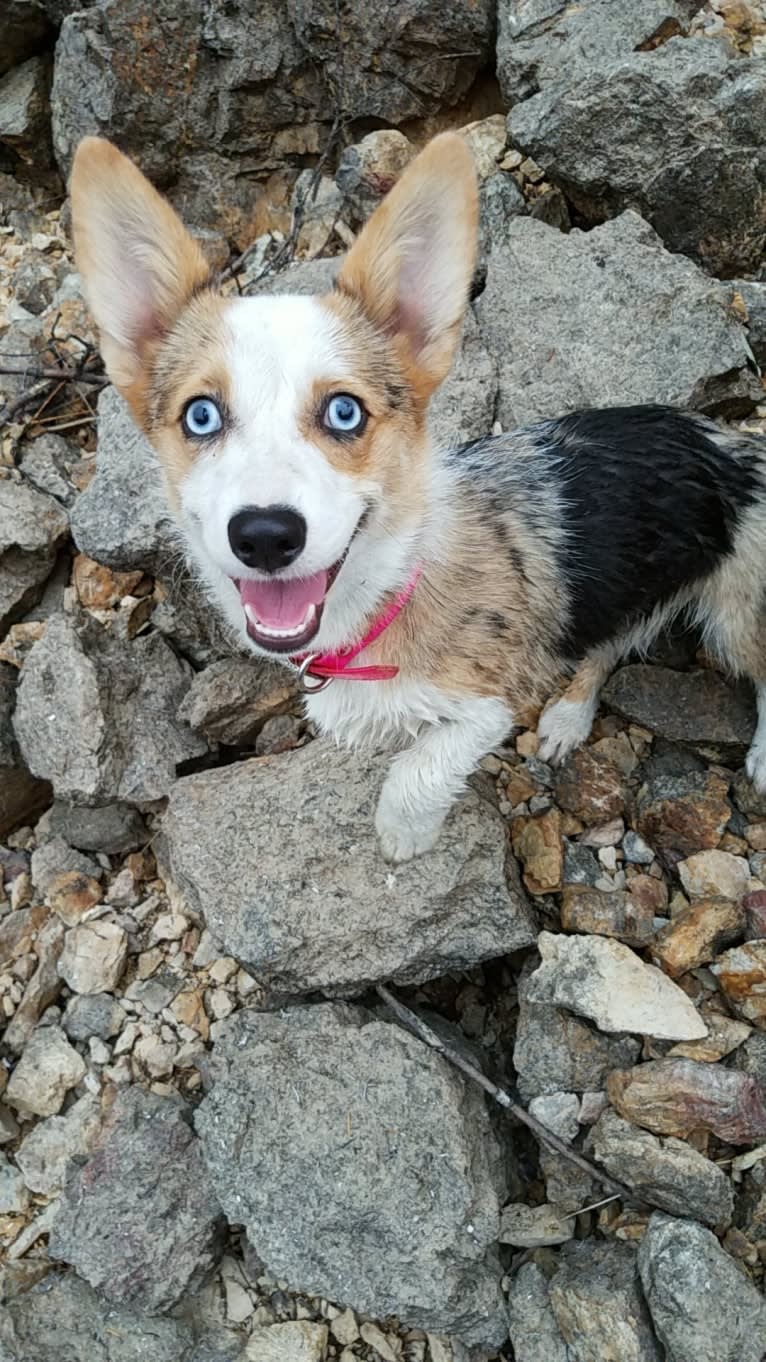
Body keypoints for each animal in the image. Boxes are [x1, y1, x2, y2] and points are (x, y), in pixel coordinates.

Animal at [70, 135, 763, 860]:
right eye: (200, 415)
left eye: (345, 411)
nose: (264, 536)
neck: (386, 591)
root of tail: (724, 439)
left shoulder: (489, 701)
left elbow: (420, 766)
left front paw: (402, 833)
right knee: (604, 645)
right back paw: (571, 716)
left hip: (736, 614)